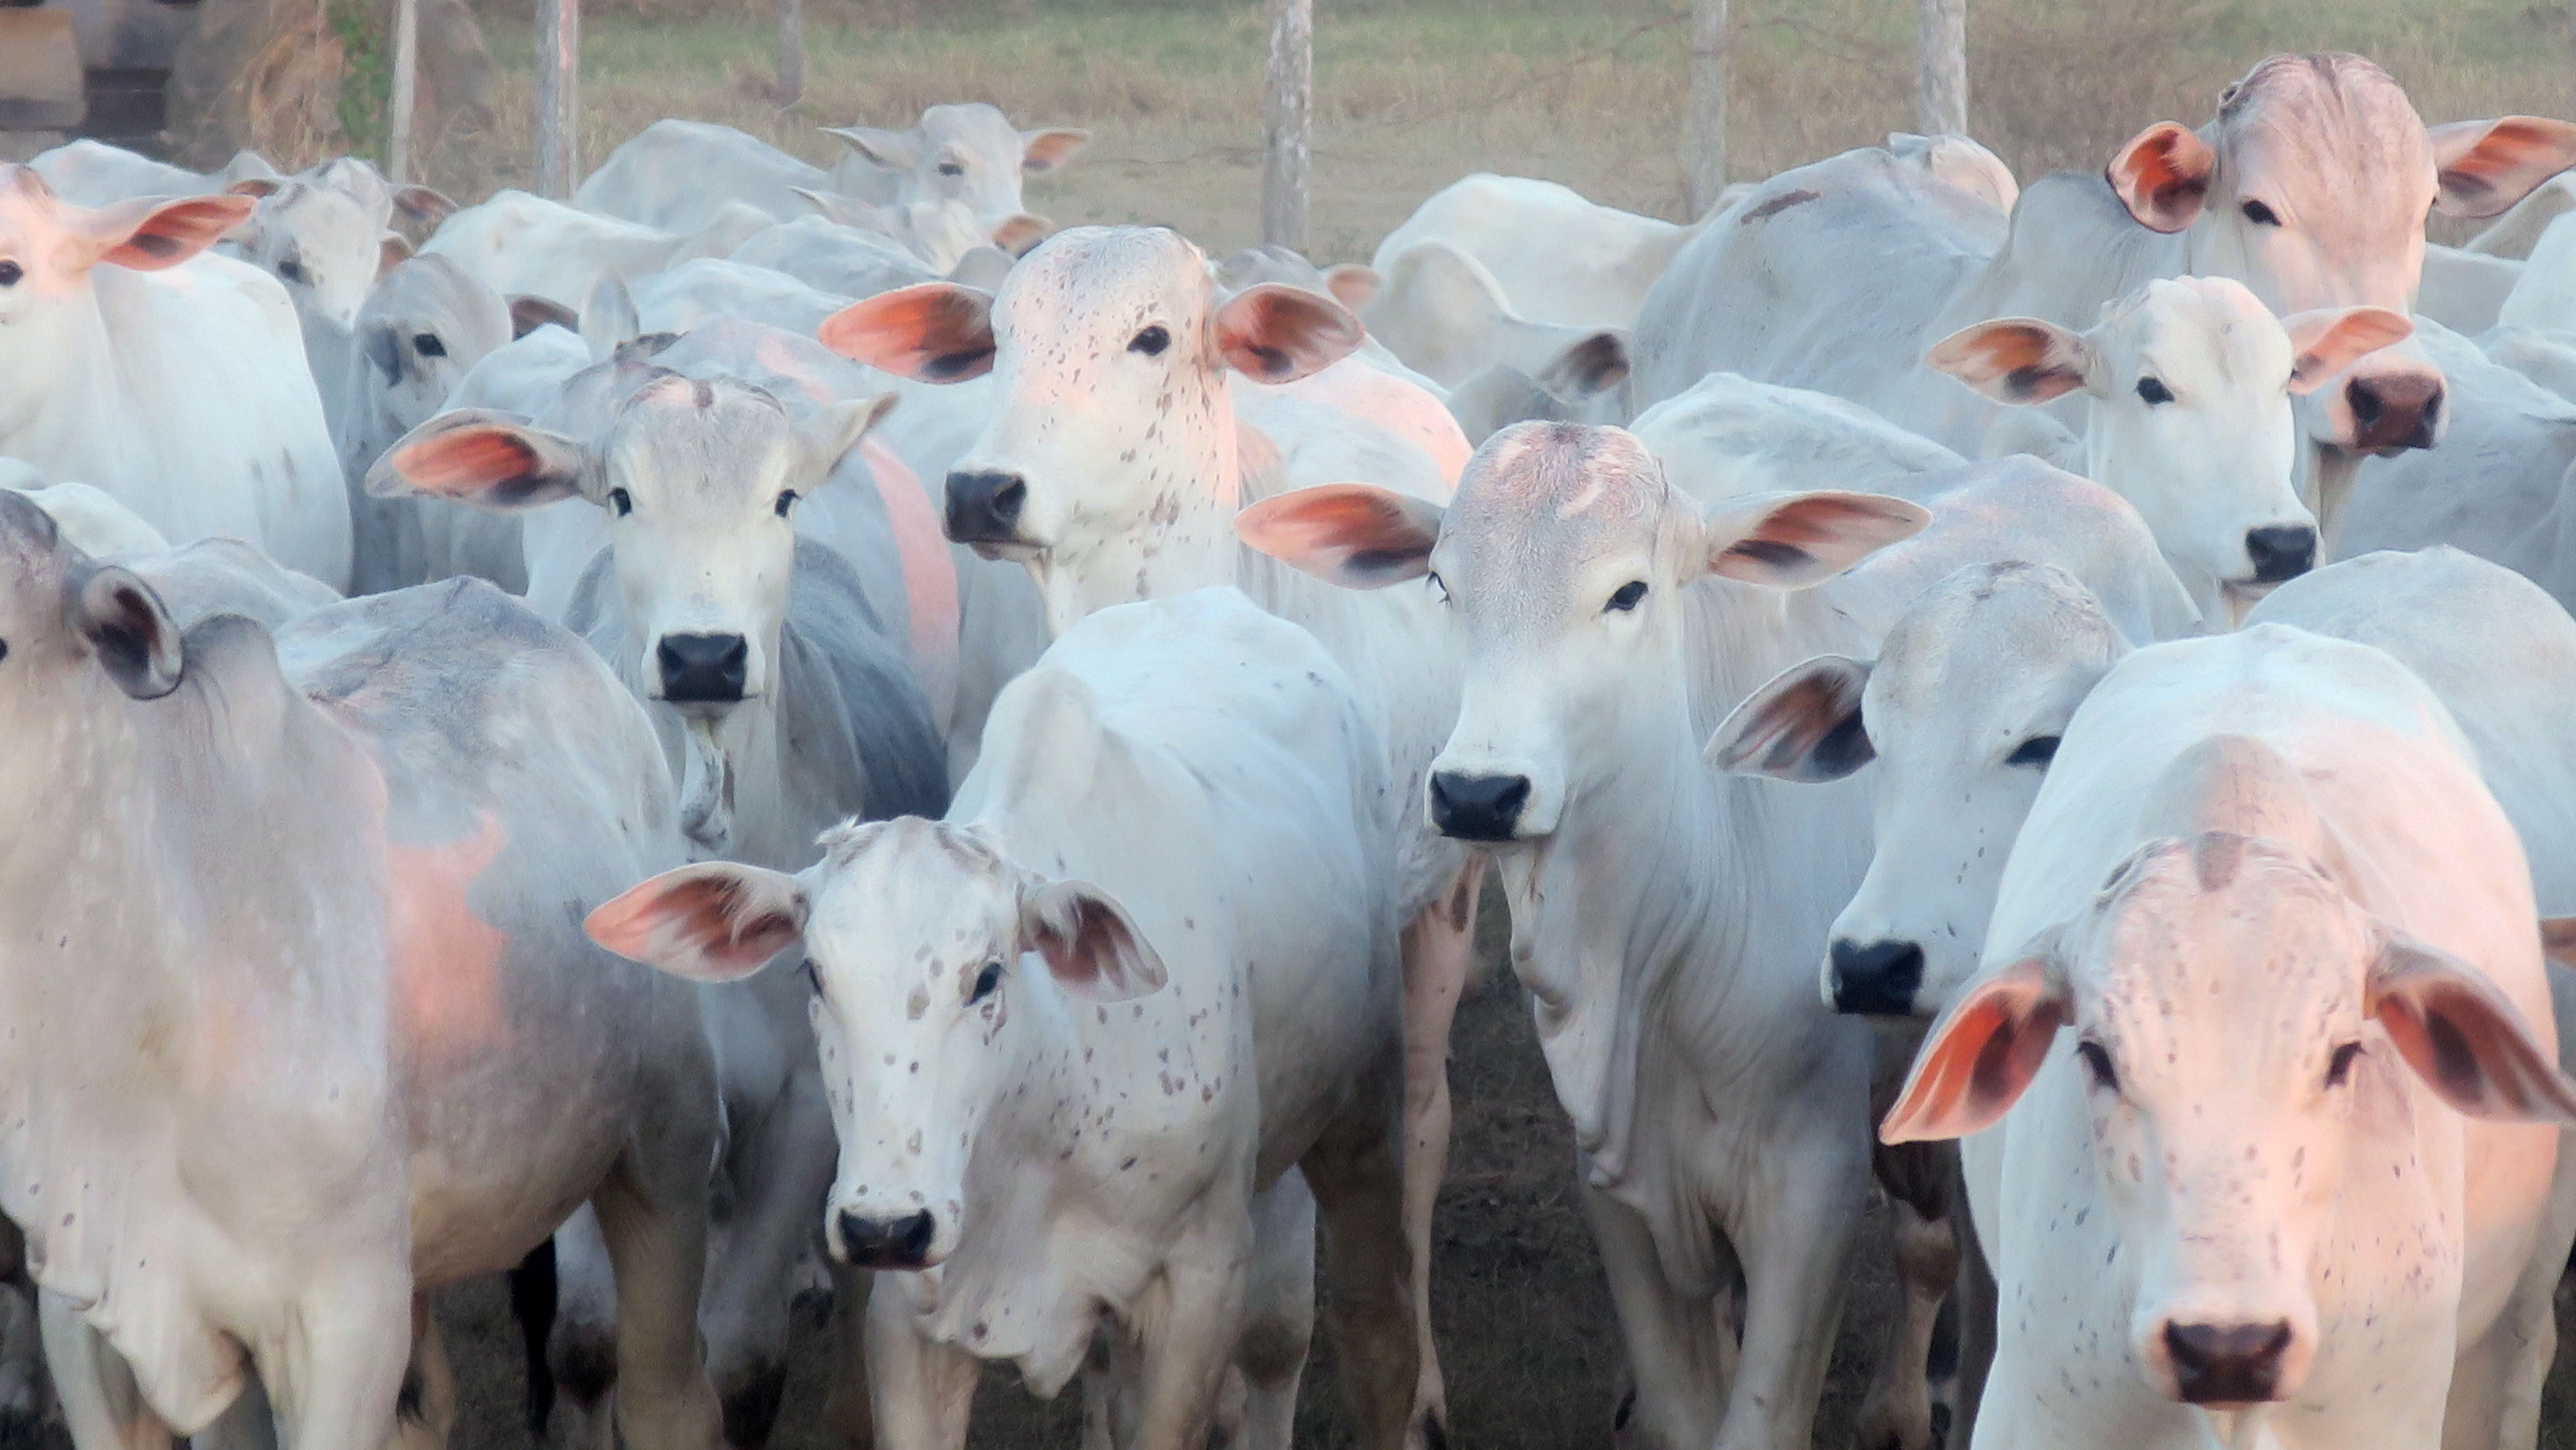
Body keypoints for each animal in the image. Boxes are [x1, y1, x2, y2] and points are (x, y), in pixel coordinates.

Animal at [824, 224, 1473, 1442]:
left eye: (1154, 335)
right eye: (999, 335)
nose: (984, 490)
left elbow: (1269, 1324)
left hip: (1441, 914)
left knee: (1421, 1126)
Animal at [1247, 425, 2195, 1450]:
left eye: (1628, 592)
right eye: (1442, 583)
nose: (1477, 792)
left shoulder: (1810, 1190)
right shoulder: (1617, 1186)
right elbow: (1681, 1410)